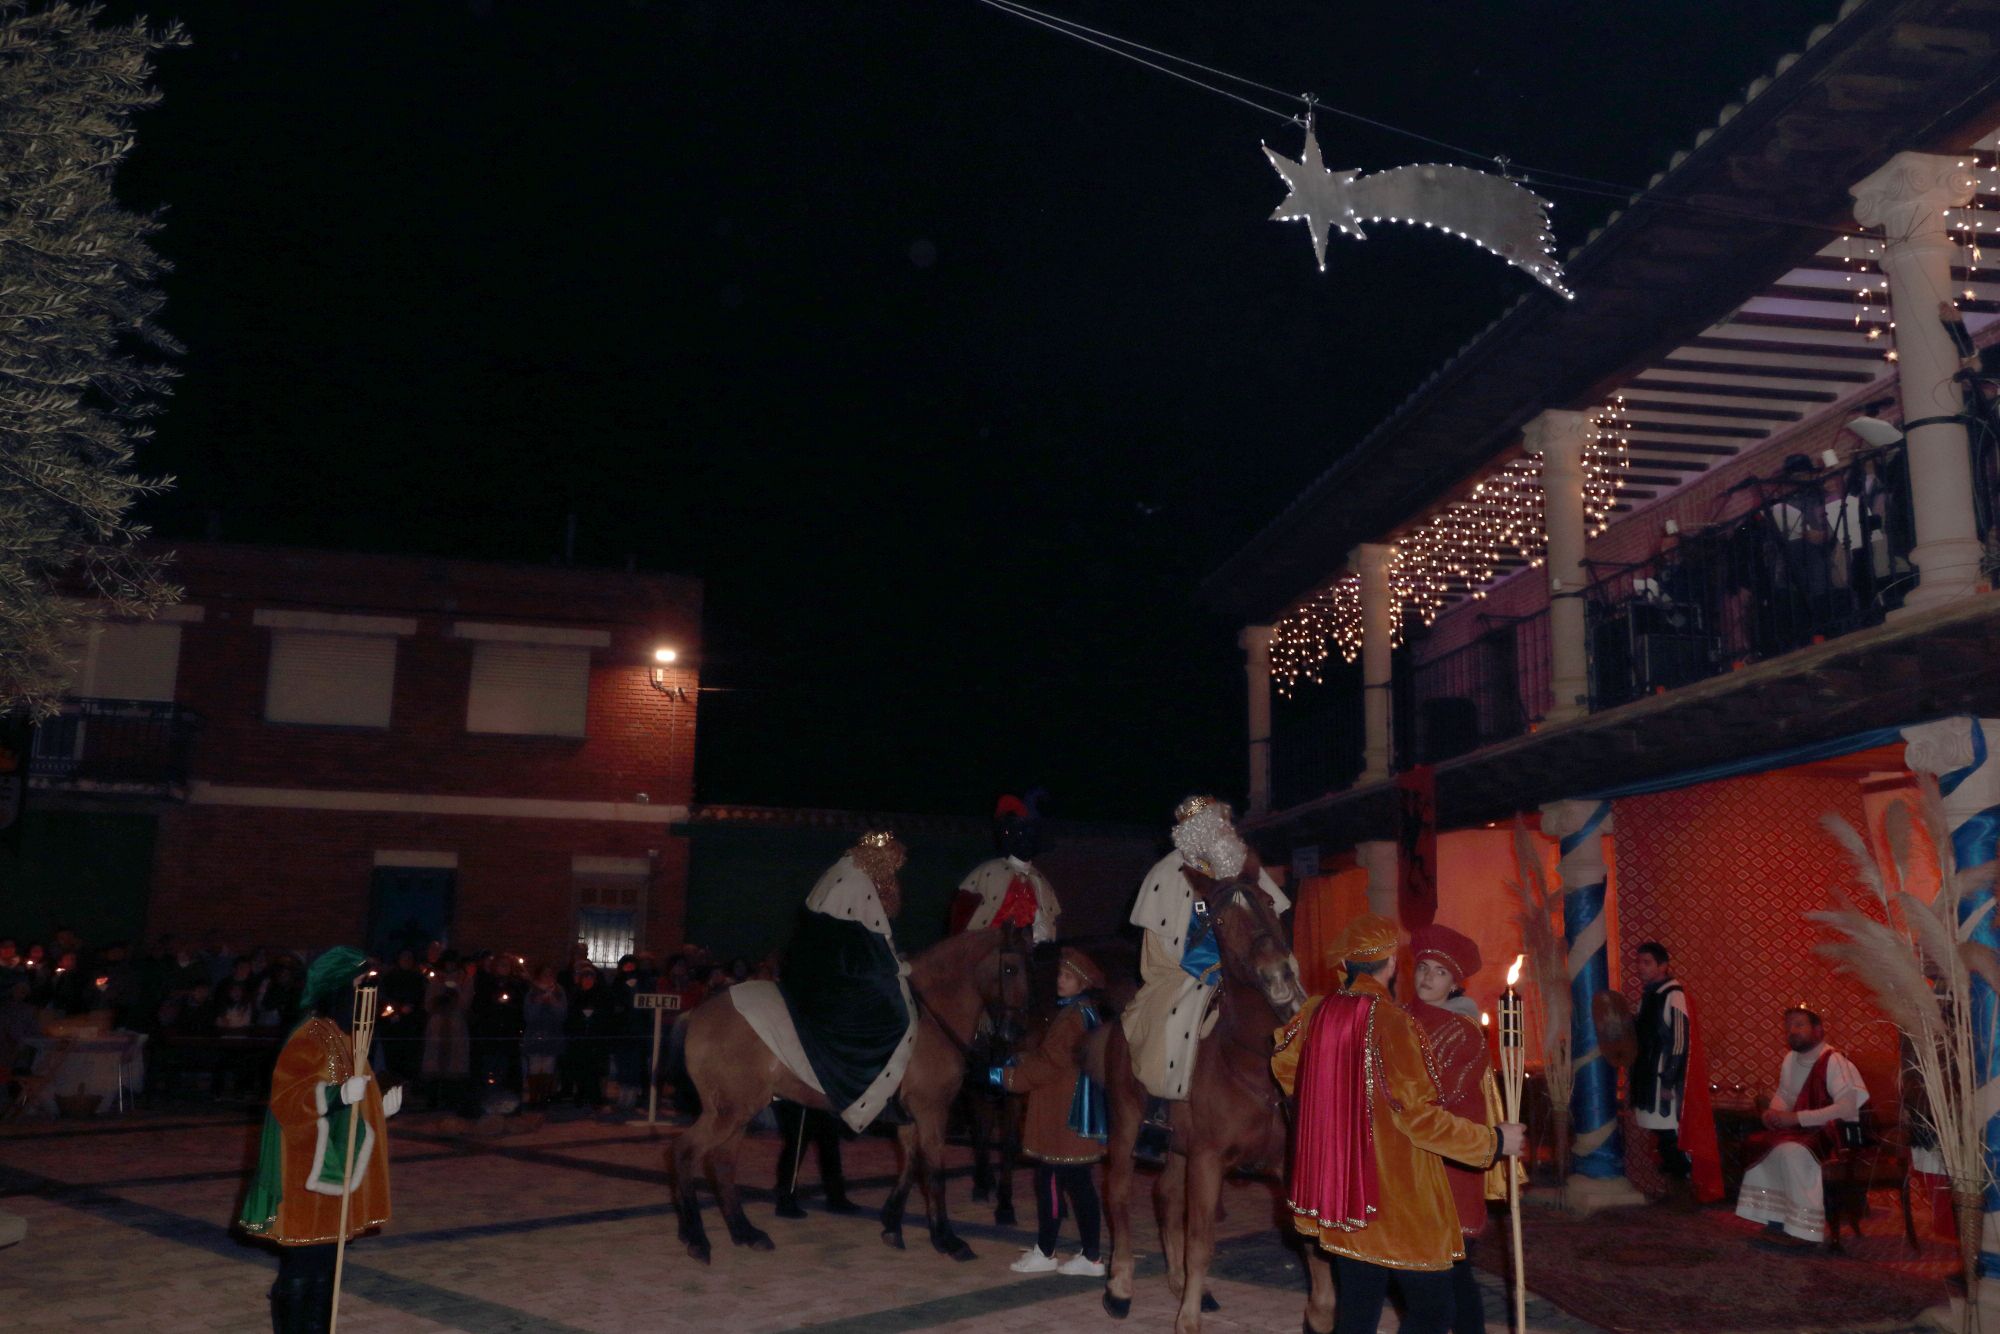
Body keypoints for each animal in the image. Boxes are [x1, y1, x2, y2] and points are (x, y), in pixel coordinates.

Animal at [669, 926, 1030, 1264]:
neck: (930, 1020)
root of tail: (697, 1014)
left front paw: (892, 1224)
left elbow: (911, 1163)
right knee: (684, 1153)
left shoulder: (911, 1117)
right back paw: (697, 1238)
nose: (1014, 1033)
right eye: (1010, 968)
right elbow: (934, 1172)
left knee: (722, 1163)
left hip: (741, 1111)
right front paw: (948, 1240)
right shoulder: (932, 1110)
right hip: (727, 1112)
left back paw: (745, 1233)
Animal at [1100, 864, 1312, 1334]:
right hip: (1125, 1124)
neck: (1249, 1061)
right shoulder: (1208, 1160)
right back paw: (1120, 1285)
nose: (1278, 975)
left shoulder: (1279, 1161)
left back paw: (1178, 1282)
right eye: (1217, 920)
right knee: (1119, 1193)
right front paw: (1188, 1318)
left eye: (1268, 902)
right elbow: (1201, 1242)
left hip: (1178, 1146)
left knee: (1164, 1195)